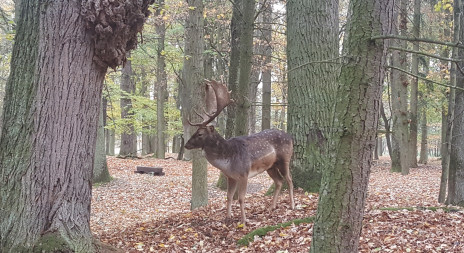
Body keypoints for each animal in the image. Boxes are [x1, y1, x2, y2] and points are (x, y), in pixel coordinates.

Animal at [184, 80, 294, 224]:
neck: (227, 160)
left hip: (285, 159)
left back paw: (292, 205)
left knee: (289, 179)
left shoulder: (244, 174)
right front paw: (227, 217)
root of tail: (290, 137)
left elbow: (241, 198)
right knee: (279, 182)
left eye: (200, 134)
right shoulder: (231, 176)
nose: (186, 144)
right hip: (270, 166)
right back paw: (272, 207)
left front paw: (244, 221)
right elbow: (229, 196)